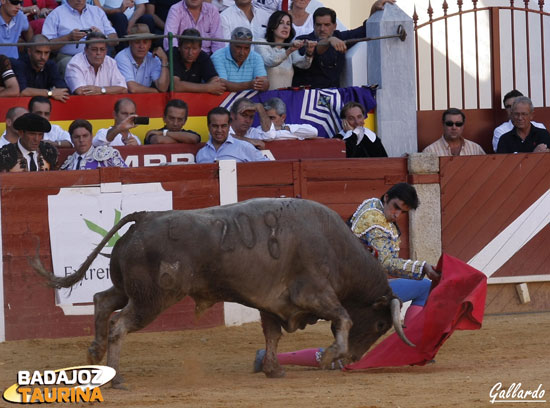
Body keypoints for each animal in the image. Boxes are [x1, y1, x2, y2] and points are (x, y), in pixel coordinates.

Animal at [31, 198, 414, 386]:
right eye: (381, 325)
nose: (353, 361)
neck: (336, 247)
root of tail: (145, 216)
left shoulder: (272, 304)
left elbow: (272, 335)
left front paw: (273, 370)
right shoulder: (313, 294)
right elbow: (344, 319)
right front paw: (329, 355)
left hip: (132, 290)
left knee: (102, 301)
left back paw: (95, 355)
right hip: (152, 299)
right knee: (120, 324)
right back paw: (116, 376)